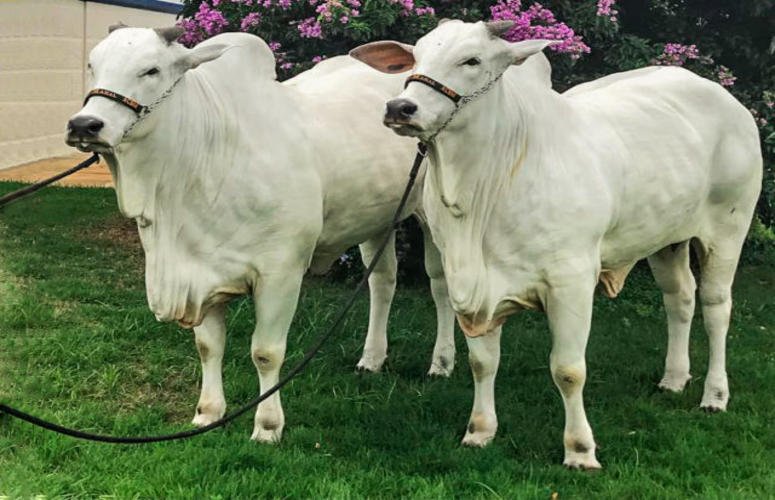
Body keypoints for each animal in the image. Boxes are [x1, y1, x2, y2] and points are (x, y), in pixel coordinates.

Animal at [65, 26, 460, 442]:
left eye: (151, 70)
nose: (85, 125)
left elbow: (266, 352)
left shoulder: (280, 273)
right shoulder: (202, 269)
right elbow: (208, 346)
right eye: (93, 64)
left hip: (432, 218)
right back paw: (371, 359)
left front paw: (268, 426)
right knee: (382, 281)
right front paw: (208, 413)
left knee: (440, 285)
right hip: (377, 217)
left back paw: (441, 362)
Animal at [356, 19, 764, 470]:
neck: (483, 190)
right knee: (681, 299)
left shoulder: (571, 282)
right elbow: (482, 363)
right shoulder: (472, 287)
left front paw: (580, 449)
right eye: (417, 56)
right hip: (666, 239)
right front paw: (479, 431)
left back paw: (715, 395)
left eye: (472, 60)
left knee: (716, 307)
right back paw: (673, 379)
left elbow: (568, 370)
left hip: (729, 227)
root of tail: (720, 95)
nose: (400, 108)